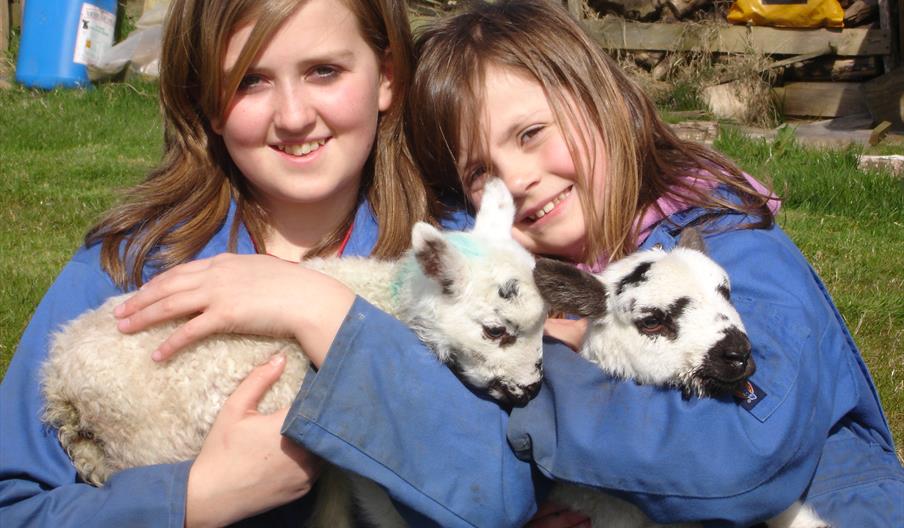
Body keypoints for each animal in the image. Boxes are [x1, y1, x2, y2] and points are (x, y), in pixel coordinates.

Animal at [40, 178, 544, 528]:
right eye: (496, 331)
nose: (532, 390)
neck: (381, 300)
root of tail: (60, 382)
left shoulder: (337, 461)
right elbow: (377, 500)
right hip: (152, 440)